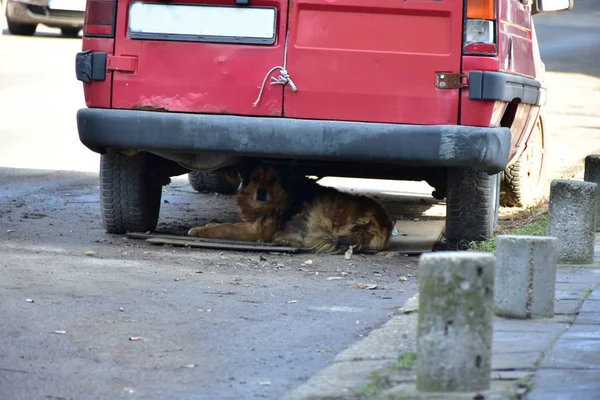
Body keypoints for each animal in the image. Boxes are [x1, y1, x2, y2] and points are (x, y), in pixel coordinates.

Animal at [188, 162, 394, 253]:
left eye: (273, 180)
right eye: (255, 178)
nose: (261, 192)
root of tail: (382, 224)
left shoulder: (257, 230)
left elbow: (226, 228)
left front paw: (199, 230)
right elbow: (226, 224)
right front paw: (207, 225)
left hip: (320, 211)